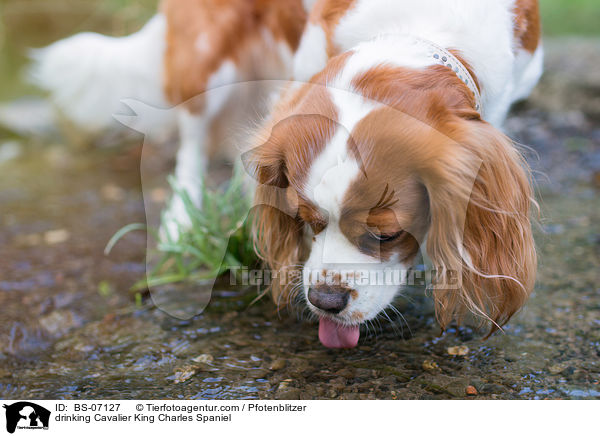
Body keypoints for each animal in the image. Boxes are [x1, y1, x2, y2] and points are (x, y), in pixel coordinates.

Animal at [30, 0, 540, 348]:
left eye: (388, 235)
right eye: (306, 220)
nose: (326, 303)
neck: (414, 29)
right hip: (207, 51)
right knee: (192, 140)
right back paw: (181, 221)